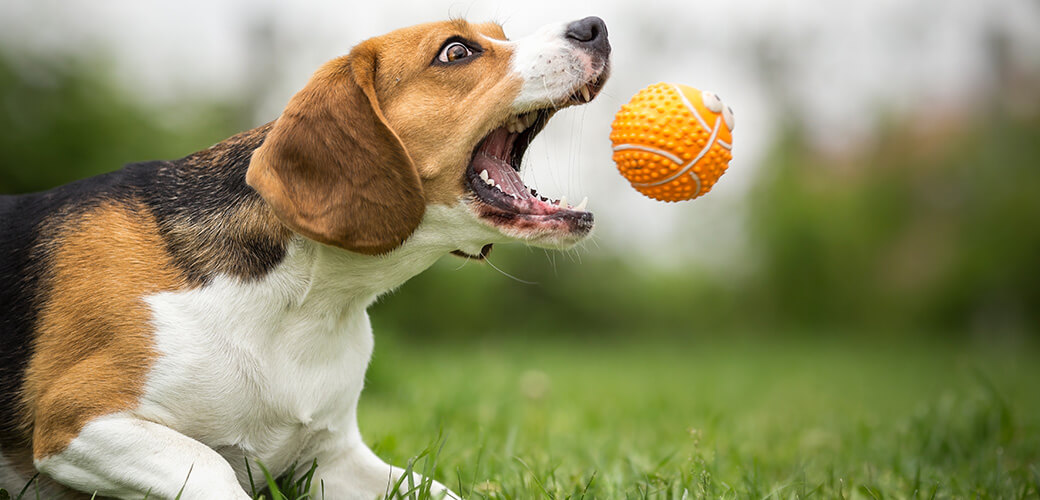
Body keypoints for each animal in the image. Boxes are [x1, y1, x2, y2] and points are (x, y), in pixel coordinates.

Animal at [0, 14, 607, 494]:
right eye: (456, 51)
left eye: (499, 34)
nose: (595, 27)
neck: (304, 302)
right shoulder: (79, 423)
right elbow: (211, 465)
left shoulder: (331, 459)